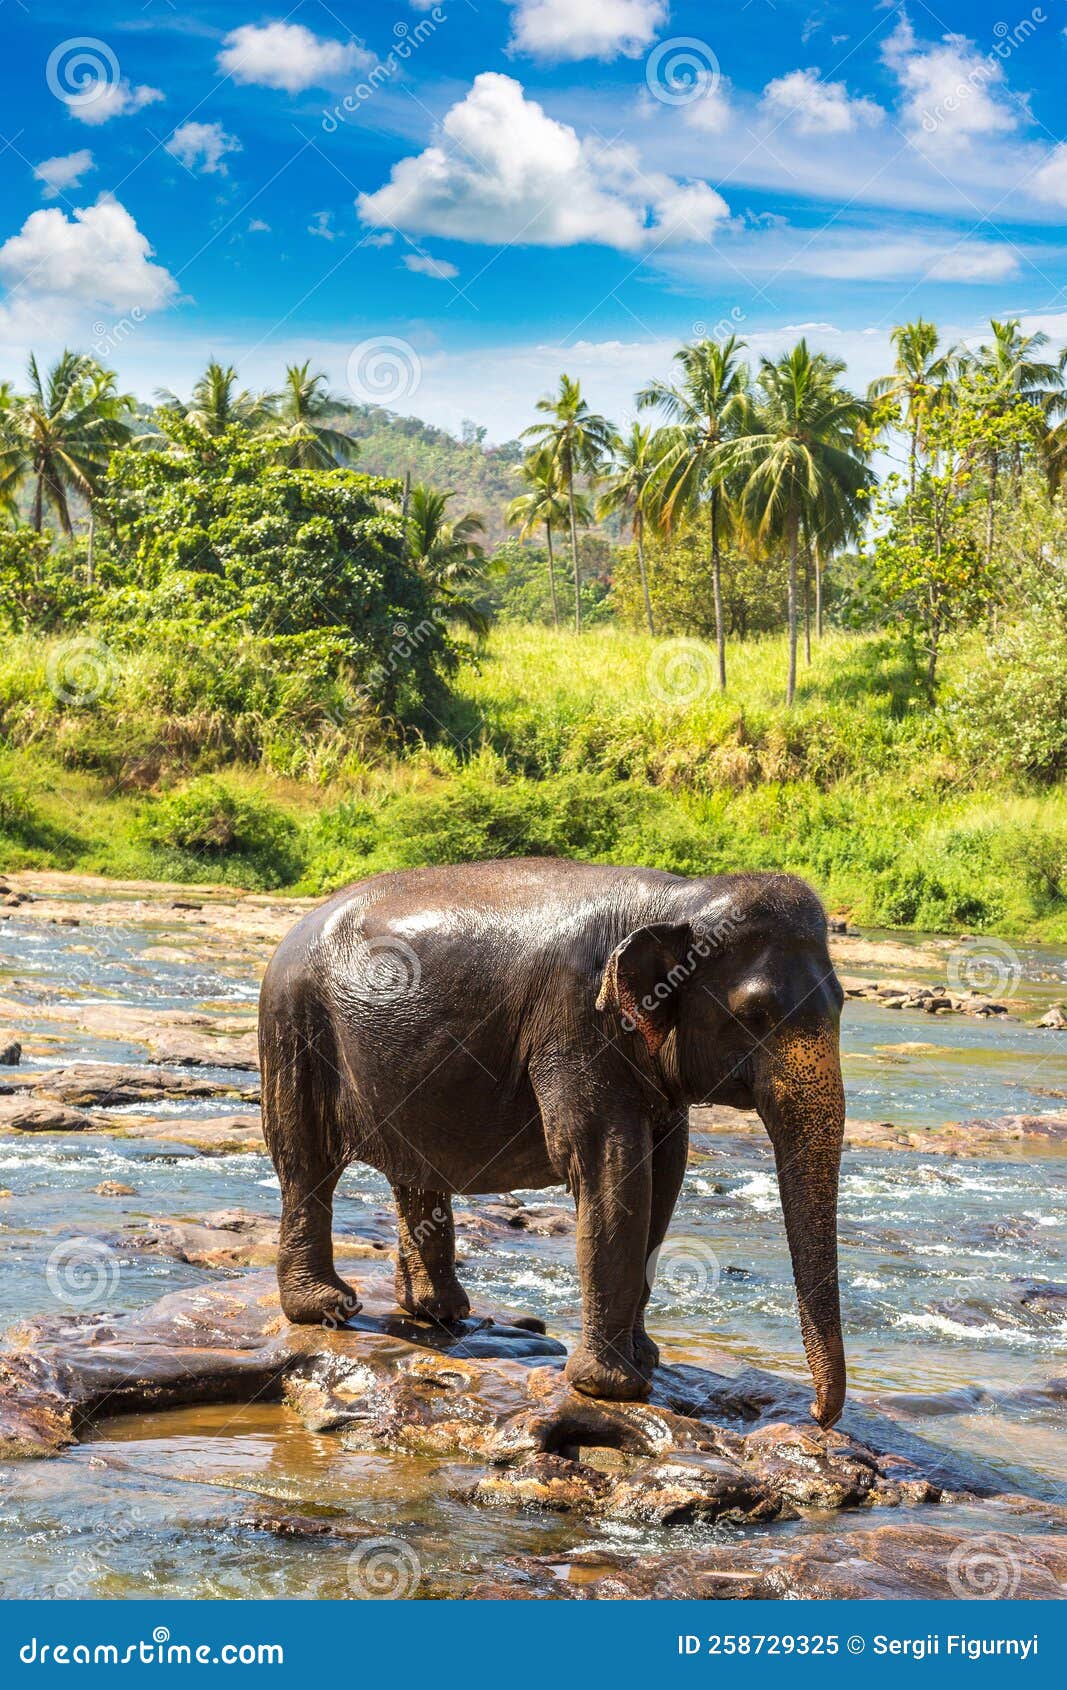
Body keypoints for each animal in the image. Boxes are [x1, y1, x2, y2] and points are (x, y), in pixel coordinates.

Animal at [258, 859, 848, 1427]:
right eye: (753, 1015)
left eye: (842, 1003)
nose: (818, 1418)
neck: (680, 899)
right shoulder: (576, 1024)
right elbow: (610, 1165)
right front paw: (613, 1388)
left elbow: (667, 1173)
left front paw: (645, 1361)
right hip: (294, 1028)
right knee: (307, 1163)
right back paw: (329, 1309)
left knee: (413, 1172)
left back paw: (437, 1312)